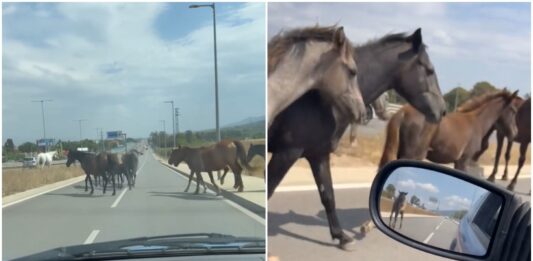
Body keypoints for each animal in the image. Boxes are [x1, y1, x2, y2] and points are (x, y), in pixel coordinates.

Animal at [266, 27, 444, 249]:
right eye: (429, 70)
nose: (442, 110)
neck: (319, 100)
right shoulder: (287, 153)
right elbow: (269, 189)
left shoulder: (318, 155)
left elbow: (328, 195)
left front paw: (341, 236)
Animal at [378, 89, 520, 171]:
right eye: (513, 111)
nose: (515, 133)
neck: (477, 121)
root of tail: (403, 112)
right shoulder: (463, 160)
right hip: (412, 155)